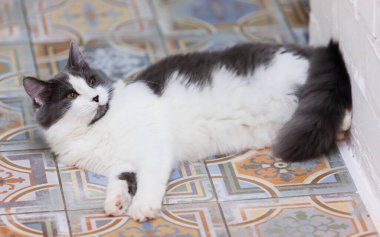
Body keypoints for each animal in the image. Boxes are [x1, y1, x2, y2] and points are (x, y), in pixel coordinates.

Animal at [22, 40, 352, 222]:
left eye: (91, 81)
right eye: (70, 96)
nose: (95, 97)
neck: (98, 127)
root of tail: (306, 49)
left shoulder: (153, 149)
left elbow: (148, 181)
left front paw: (142, 207)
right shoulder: (119, 164)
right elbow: (119, 181)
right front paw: (115, 203)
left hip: (301, 85)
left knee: (330, 96)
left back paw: (343, 126)